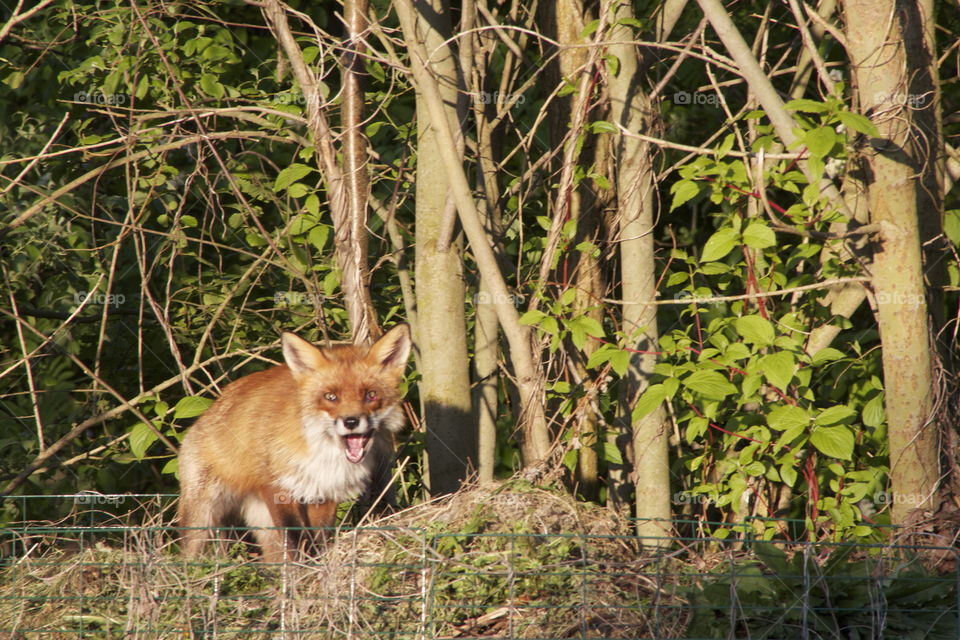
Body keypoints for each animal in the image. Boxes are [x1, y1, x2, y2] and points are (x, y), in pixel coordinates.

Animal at [177, 323, 411, 562]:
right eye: (331, 397)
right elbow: (295, 540)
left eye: (371, 395)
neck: (324, 454)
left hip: (262, 522)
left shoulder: (325, 493)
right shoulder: (278, 489)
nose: (351, 421)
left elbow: (319, 540)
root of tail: (210, 409)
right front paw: (301, 568)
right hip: (203, 514)